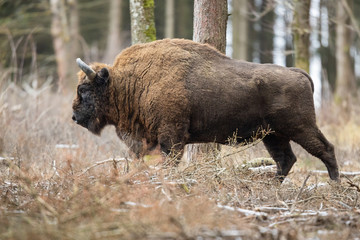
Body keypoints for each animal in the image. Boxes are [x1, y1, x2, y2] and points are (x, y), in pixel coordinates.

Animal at [72, 38, 340, 182]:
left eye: (83, 89)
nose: (74, 116)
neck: (129, 82)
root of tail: (299, 72)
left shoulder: (171, 136)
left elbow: (170, 161)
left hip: (300, 127)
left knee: (325, 149)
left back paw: (335, 184)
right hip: (273, 135)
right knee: (286, 159)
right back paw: (271, 186)